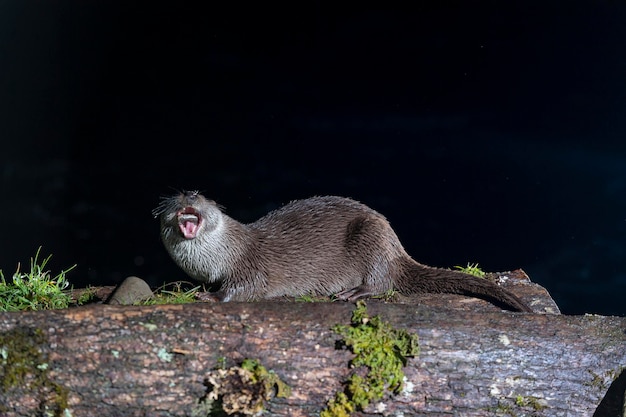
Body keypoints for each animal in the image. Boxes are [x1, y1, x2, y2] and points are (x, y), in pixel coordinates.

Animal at [152, 190, 532, 310]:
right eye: (175, 195)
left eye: (202, 195)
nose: (188, 195)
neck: (222, 255)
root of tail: (396, 247)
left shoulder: (250, 265)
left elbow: (244, 289)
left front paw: (210, 296)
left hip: (371, 238)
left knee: (384, 282)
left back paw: (354, 292)